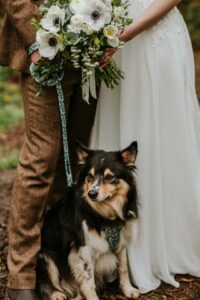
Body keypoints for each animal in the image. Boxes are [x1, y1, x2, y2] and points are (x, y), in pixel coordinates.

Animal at [36, 141, 140, 300]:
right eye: (90, 176)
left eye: (109, 177)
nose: (91, 194)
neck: (105, 215)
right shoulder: (84, 250)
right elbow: (89, 283)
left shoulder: (121, 242)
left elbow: (123, 268)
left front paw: (128, 290)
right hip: (46, 256)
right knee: (44, 282)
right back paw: (56, 294)